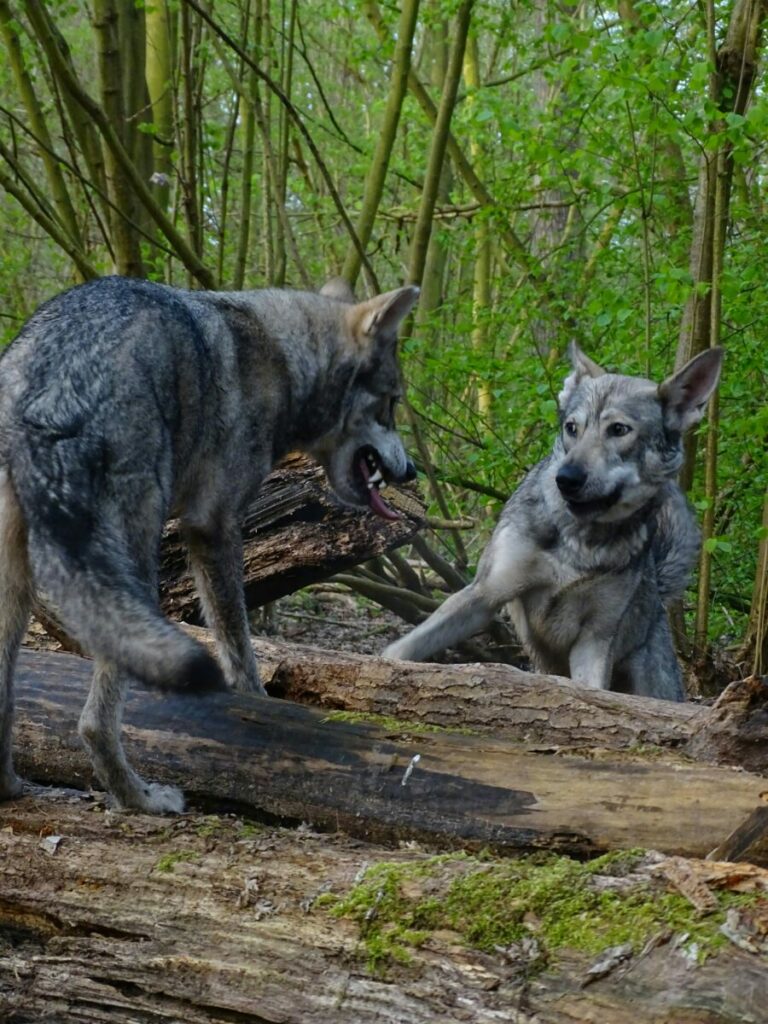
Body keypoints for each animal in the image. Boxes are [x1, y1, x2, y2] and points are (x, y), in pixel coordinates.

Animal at [0, 274, 418, 812]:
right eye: (391, 404)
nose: (413, 471)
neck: (286, 360)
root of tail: (47, 383)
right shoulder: (214, 525)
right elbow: (237, 641)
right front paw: (256, 702)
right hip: (131, 566)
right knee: (94, 722)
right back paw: (140, 799)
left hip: (23, 583)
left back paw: (9, 786)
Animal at [384, 344, 723, 702]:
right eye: (572, 428)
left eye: (619, 430)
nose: (567, 478)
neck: (580, 542)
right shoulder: (485, 594)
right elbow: (403, 648)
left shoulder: (594, 640)